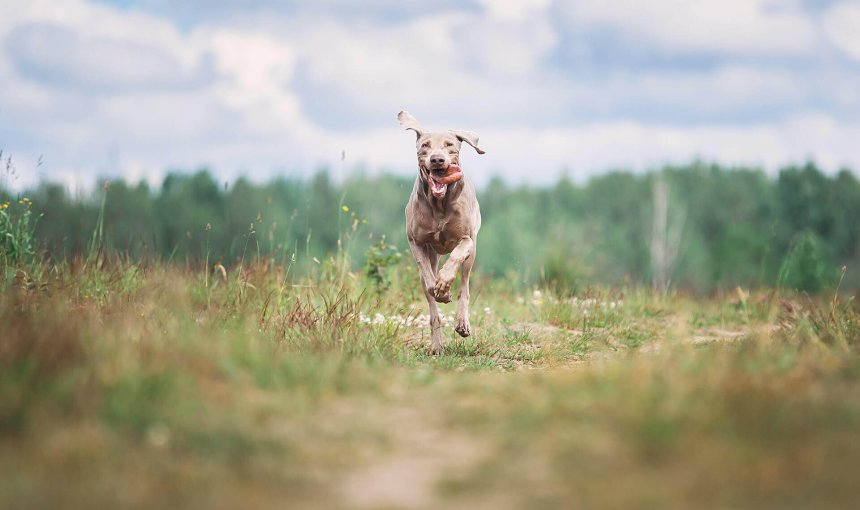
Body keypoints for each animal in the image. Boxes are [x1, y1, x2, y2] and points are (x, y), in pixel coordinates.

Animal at [396, 109, 484, 352]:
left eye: (449, 144)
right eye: (425, 145)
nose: (437, 159)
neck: (439, 204)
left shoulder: (467, 239)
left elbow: (455, 257)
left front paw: (444, 282)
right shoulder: (416, 242)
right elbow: (428, 277)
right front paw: (440, 291)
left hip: (472, 255)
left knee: (464, 285)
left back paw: (462, 323)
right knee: (432, 306)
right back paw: (436, 345)